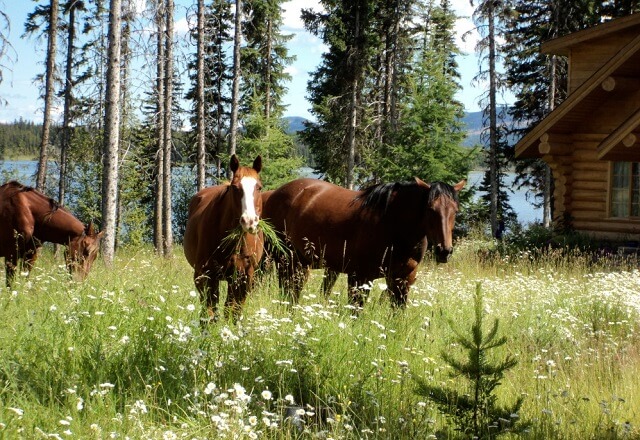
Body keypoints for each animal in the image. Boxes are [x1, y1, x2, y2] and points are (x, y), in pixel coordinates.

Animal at [183, 155, 264, 322]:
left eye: (259, 187)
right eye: (235, 187)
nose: (249, 221)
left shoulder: (244, 278)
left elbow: (233, 313)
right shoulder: (205, 276)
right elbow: (209, 313)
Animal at [262, 177, 465, 308]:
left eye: (455, 210)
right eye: (430, 209)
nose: (444, 251)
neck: (392, 224)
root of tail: (275, 194)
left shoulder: (402, 279)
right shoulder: (360, 278)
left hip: (298, 262)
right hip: (284, 259)